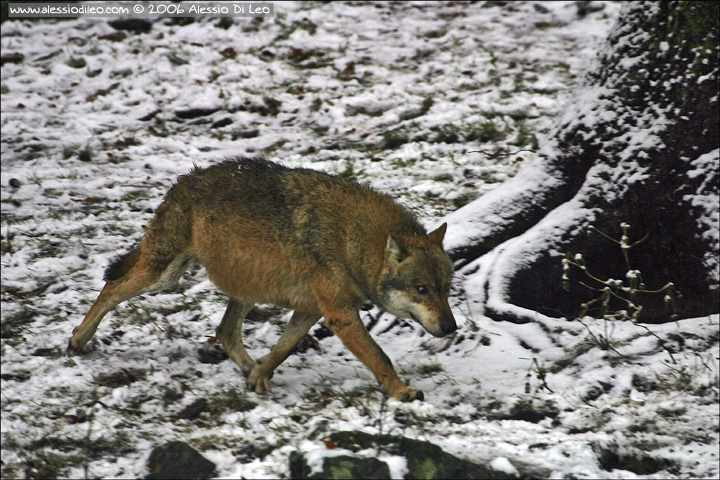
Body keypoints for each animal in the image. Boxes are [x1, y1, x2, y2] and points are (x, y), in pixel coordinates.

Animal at [67, 158, 456, 402]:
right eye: (422, 290)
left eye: (447, 289)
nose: (452, 328)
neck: (351, 240)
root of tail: (183, 181)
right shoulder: (340, 315)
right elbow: (380, 358)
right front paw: (403, 393)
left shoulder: (314, 310)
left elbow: (282, 349)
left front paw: (259, 376)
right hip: (164, 276)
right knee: (111, 287)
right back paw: (77, 340)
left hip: (243, 286)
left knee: (225, 331)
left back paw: (250, 371)